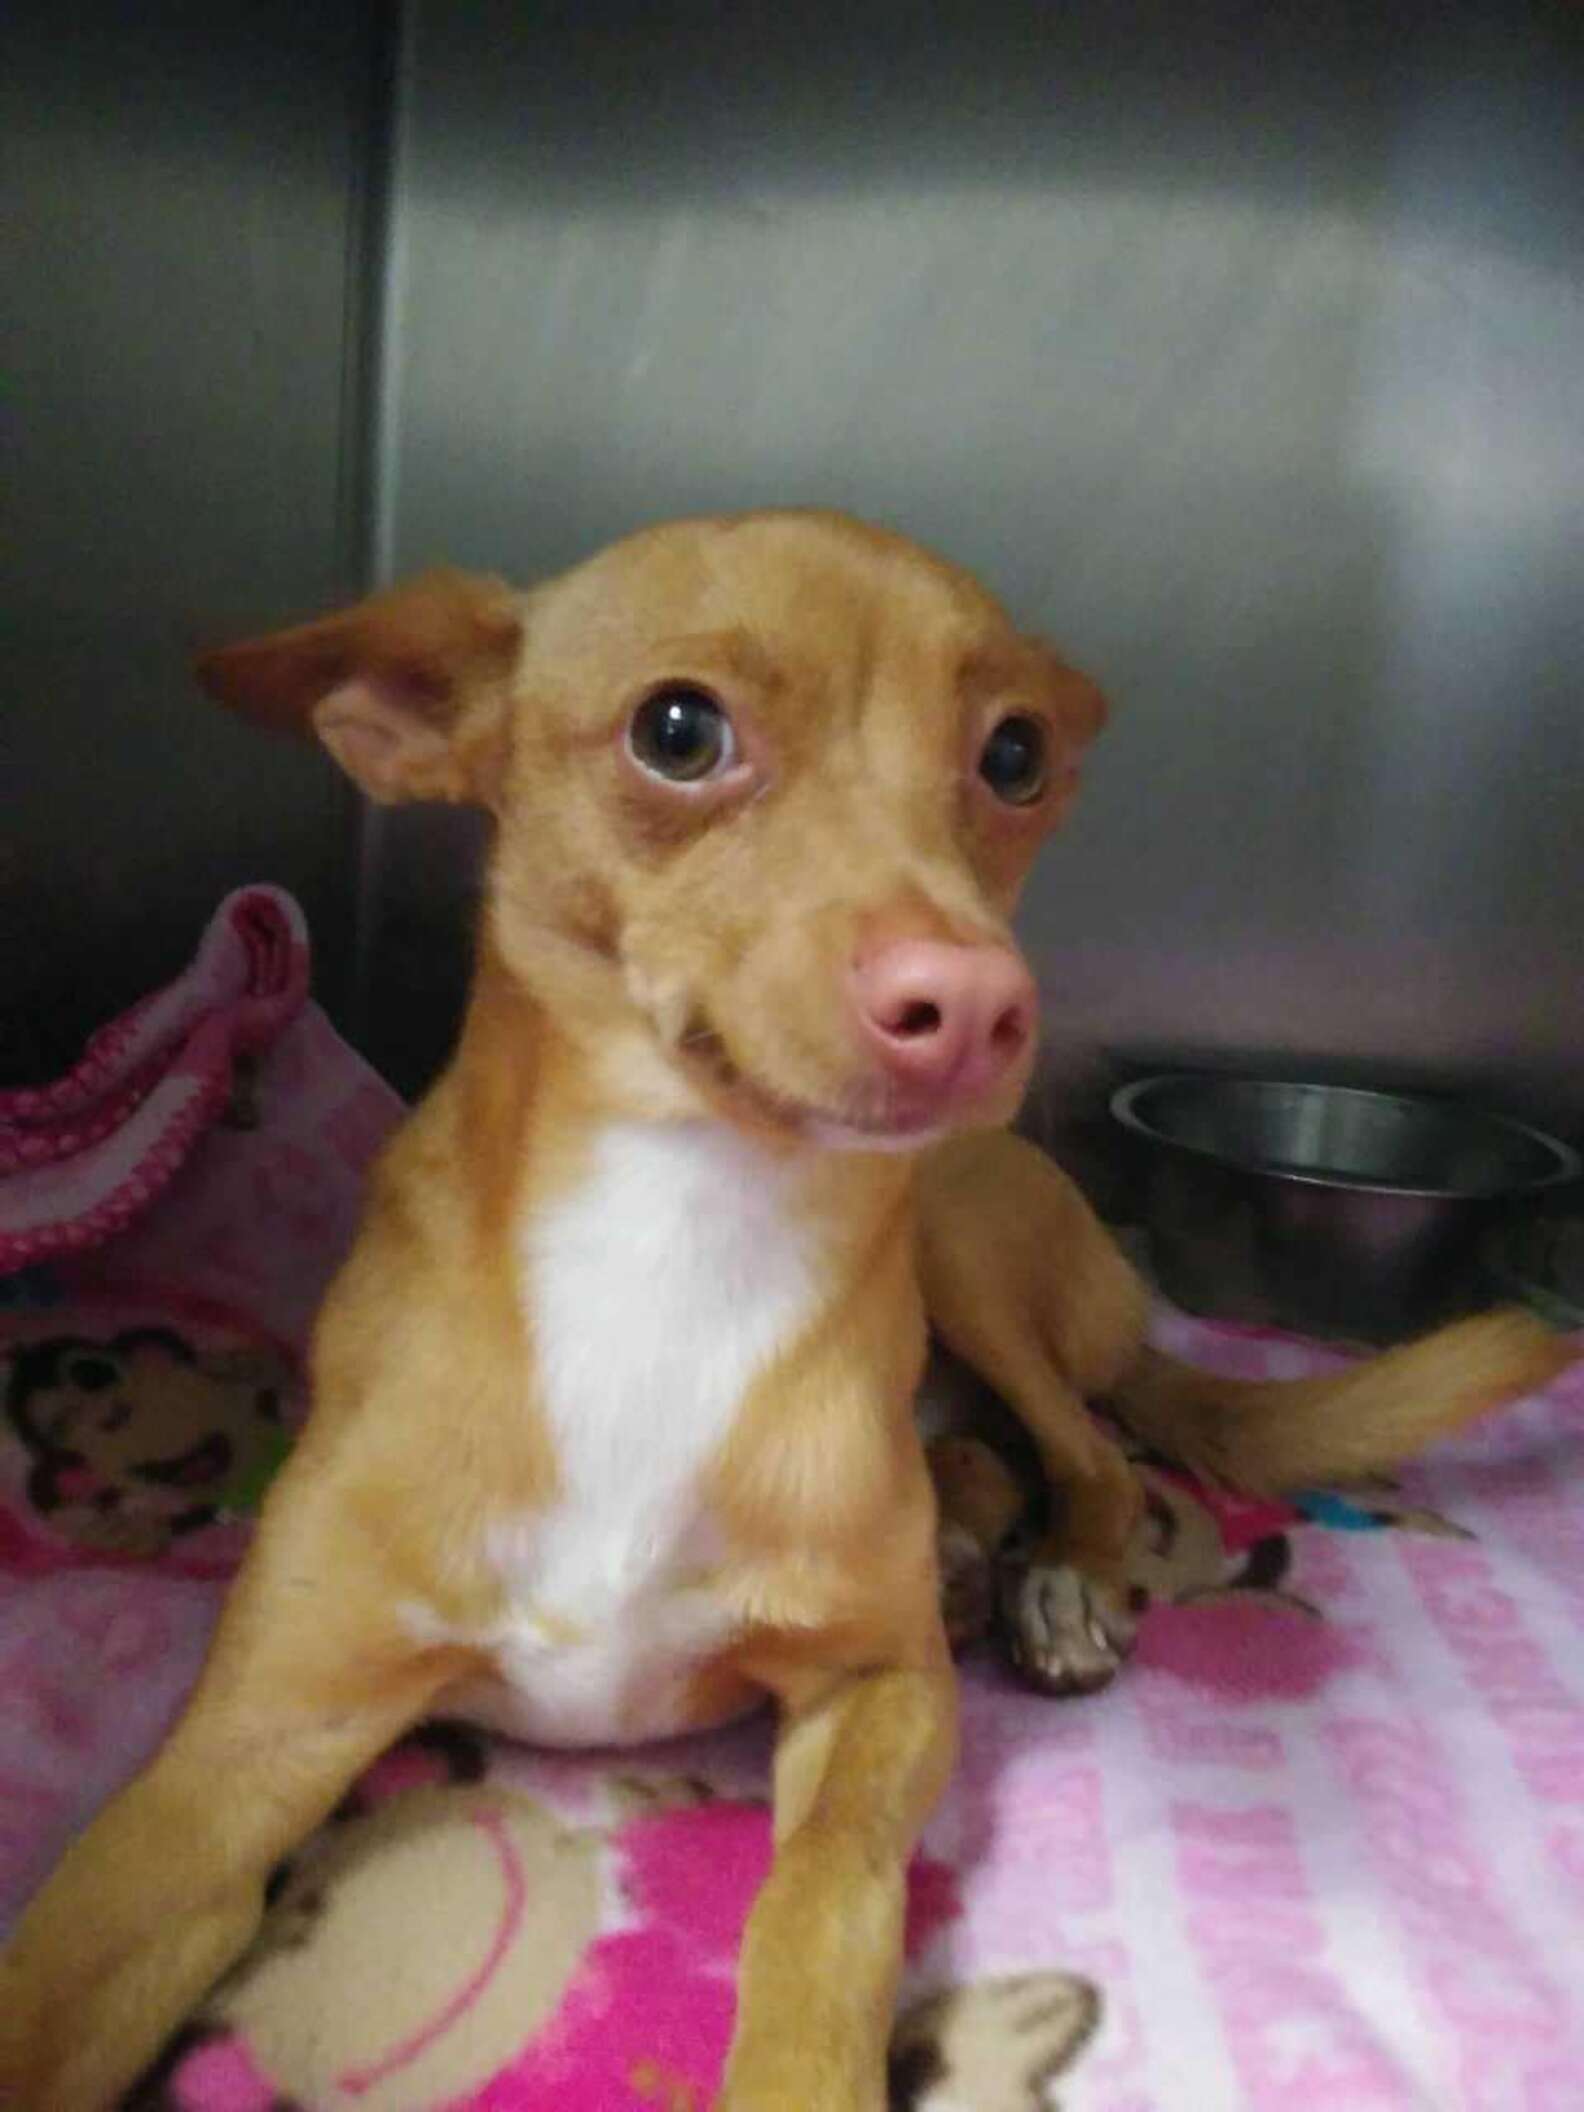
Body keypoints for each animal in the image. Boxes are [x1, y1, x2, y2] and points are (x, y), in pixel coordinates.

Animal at [0, 506, 1571, 2095]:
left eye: (1014, 755)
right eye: (678, 732)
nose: (979, 1007)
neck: (679, 1236)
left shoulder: (884, 1691)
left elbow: (826, 1906)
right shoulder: (230, 1762)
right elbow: (52, 1983)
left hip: (963, 1239)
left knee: (1095, 1458)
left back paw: (1054, 1583)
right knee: (988, 1459)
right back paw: (970, 1546)